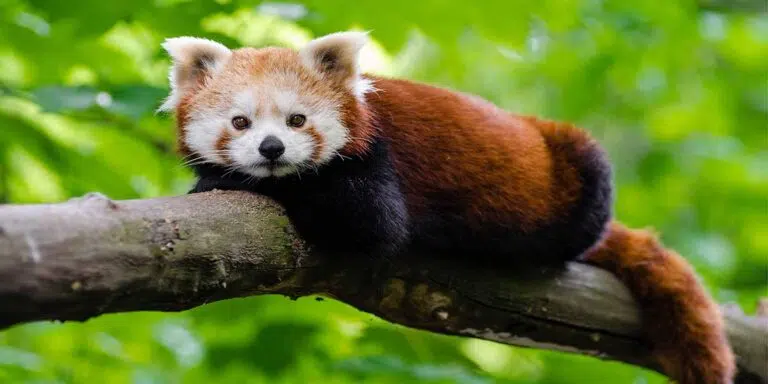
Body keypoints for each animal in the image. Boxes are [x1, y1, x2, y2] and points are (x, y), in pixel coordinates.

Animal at [160, 31, 736, 382]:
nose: (272, 149)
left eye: (297, 120)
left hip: (579, 168)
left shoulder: (377, 162)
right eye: (240, 122)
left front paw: (222, 179)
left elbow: (371, 222)